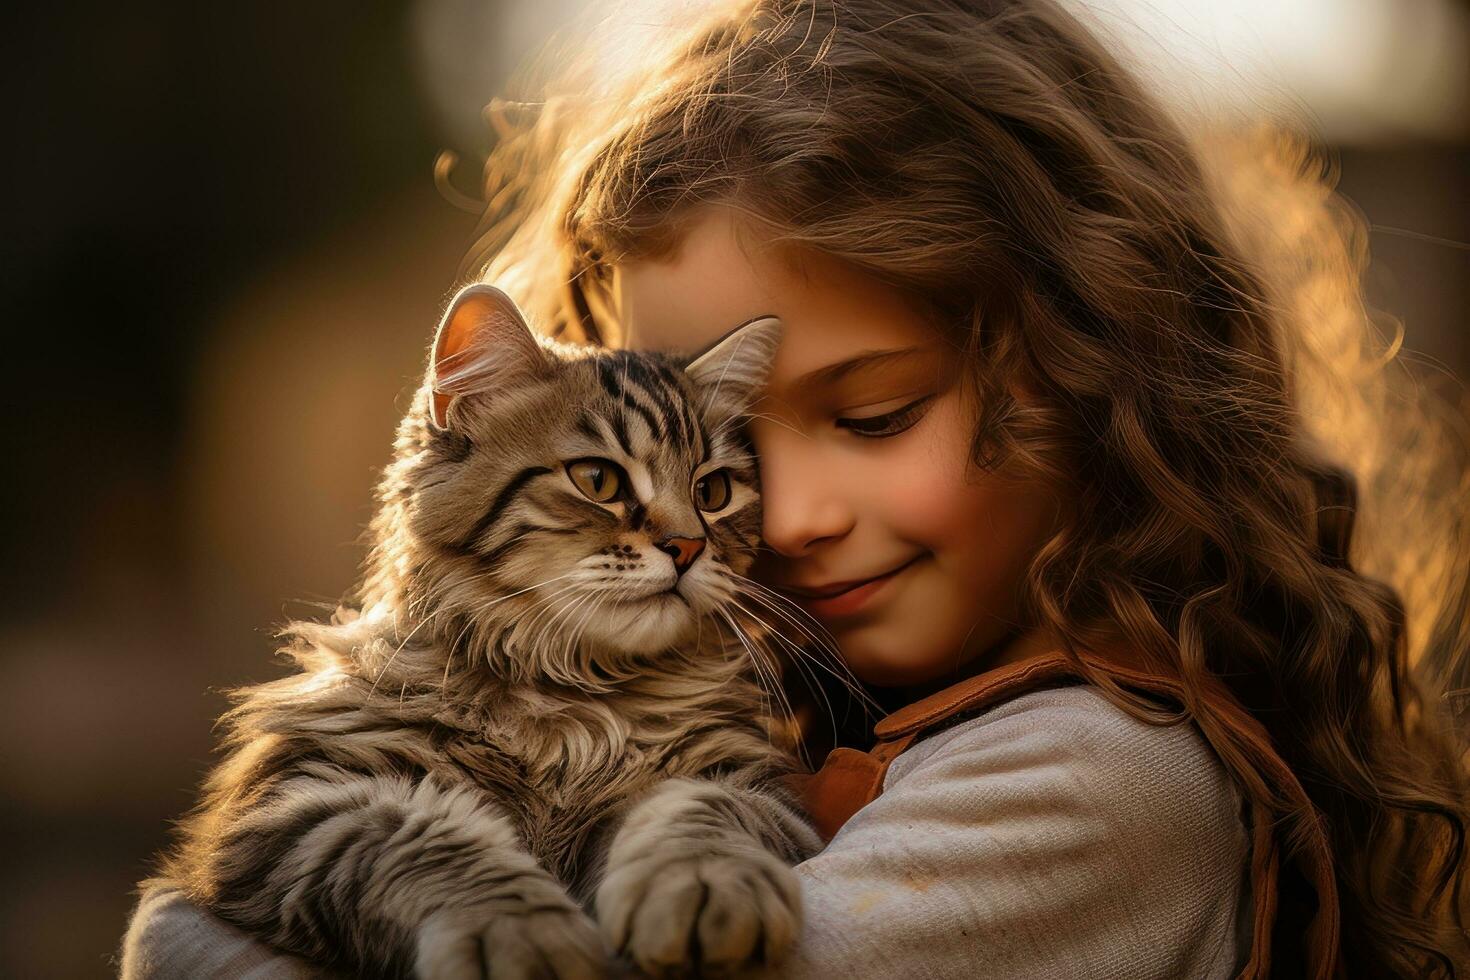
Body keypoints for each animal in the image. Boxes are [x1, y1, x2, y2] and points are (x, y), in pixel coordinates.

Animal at [149, 283, 829, 980]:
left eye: (713, 492)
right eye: (599, 481)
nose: (689, 547)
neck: (573, 700)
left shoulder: (743, 781)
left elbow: (697, 817)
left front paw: (706, 888)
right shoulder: (303, 801)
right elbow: (434, 848)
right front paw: (523, 937)